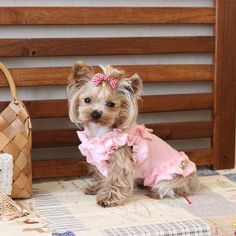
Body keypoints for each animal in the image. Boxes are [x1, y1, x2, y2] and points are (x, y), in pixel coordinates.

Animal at [66, 61, 199, 206]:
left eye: (111, 104)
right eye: (87, 100)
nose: (95, 114)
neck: (101, 131)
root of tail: (193, 181)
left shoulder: (120, 157)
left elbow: (116, 178)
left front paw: (108, 199)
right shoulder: (99, 157)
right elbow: (101, 174)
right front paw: (95, 189)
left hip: (171, 178)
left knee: (168, 189)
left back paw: (153, 193)